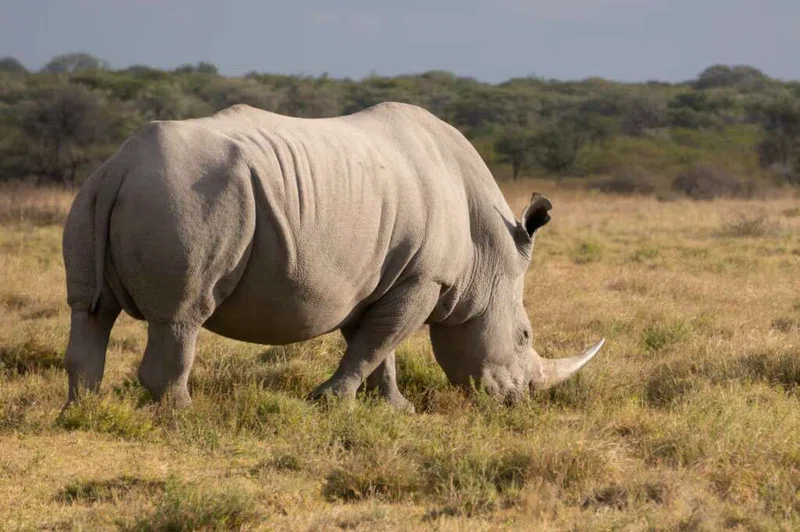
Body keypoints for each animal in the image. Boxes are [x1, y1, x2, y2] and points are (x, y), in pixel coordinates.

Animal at [62, 102, 603, 411]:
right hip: (188, 200)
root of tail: (123, 165)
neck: (488, 256)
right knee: (181, 316)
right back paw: (183, 416)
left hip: (95, 192)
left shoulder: (378, 278)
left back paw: (83, 413)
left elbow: (377, 344)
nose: (519, 401)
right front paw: (330, 403)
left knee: (90, 311)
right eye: (525, 336)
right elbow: (378, 342)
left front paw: (394, 409)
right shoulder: (424, 279)